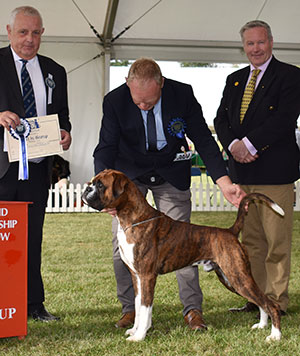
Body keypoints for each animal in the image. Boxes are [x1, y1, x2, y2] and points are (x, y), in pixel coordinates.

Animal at [82, 169, 284, 342]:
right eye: (93, 183)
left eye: (100, 185)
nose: (86, 188)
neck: (133, 220)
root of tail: (230, 231)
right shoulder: (136, 277)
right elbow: (139, 306)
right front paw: (135, 330)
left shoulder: (147, 276)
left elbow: (145, 308)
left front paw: (139, 336)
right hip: (230, 278)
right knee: (261, 301)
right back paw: (261, 325)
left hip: (238, 277)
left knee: (269, 303)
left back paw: (274, 335)